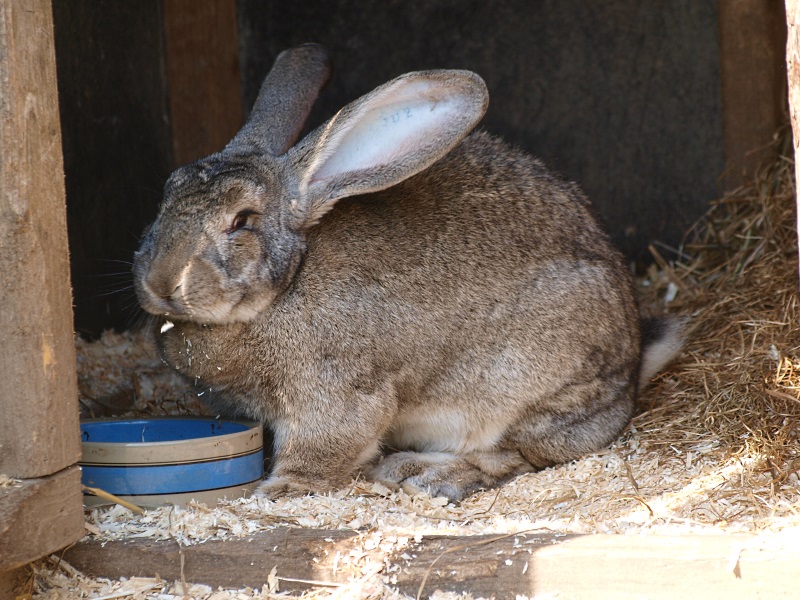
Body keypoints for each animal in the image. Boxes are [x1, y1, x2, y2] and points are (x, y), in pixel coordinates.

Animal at [133, 44, 684, 501]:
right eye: (166, 193)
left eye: (242, 221)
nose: (161, 283)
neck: (287, 285)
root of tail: (632, 368)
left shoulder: (335, 393)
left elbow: (323, 448)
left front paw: (280, 491)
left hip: (529, 388)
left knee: (520, 455)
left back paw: (429, 475)